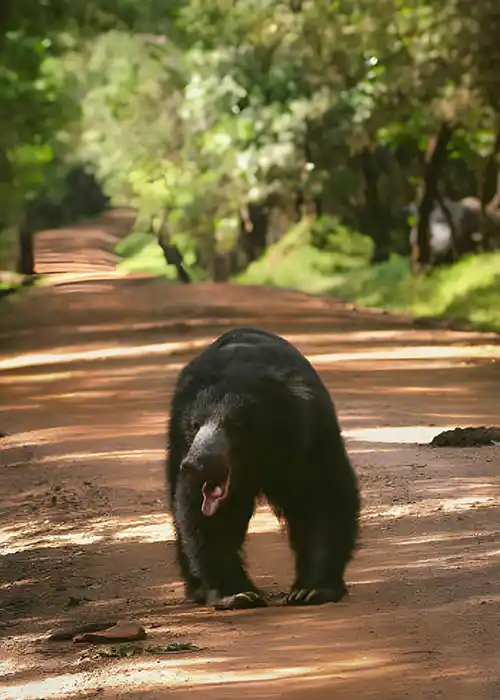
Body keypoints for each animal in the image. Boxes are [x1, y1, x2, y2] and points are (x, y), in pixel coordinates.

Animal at [165, 327, 360, 610]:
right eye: (195, 425)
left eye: (235, 425)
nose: (195, 464)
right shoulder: (184, 445)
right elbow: (204, 515)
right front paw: (237, 594)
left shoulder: (310, 436)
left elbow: (322, 497)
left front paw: (311, 590)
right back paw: (197, 589)